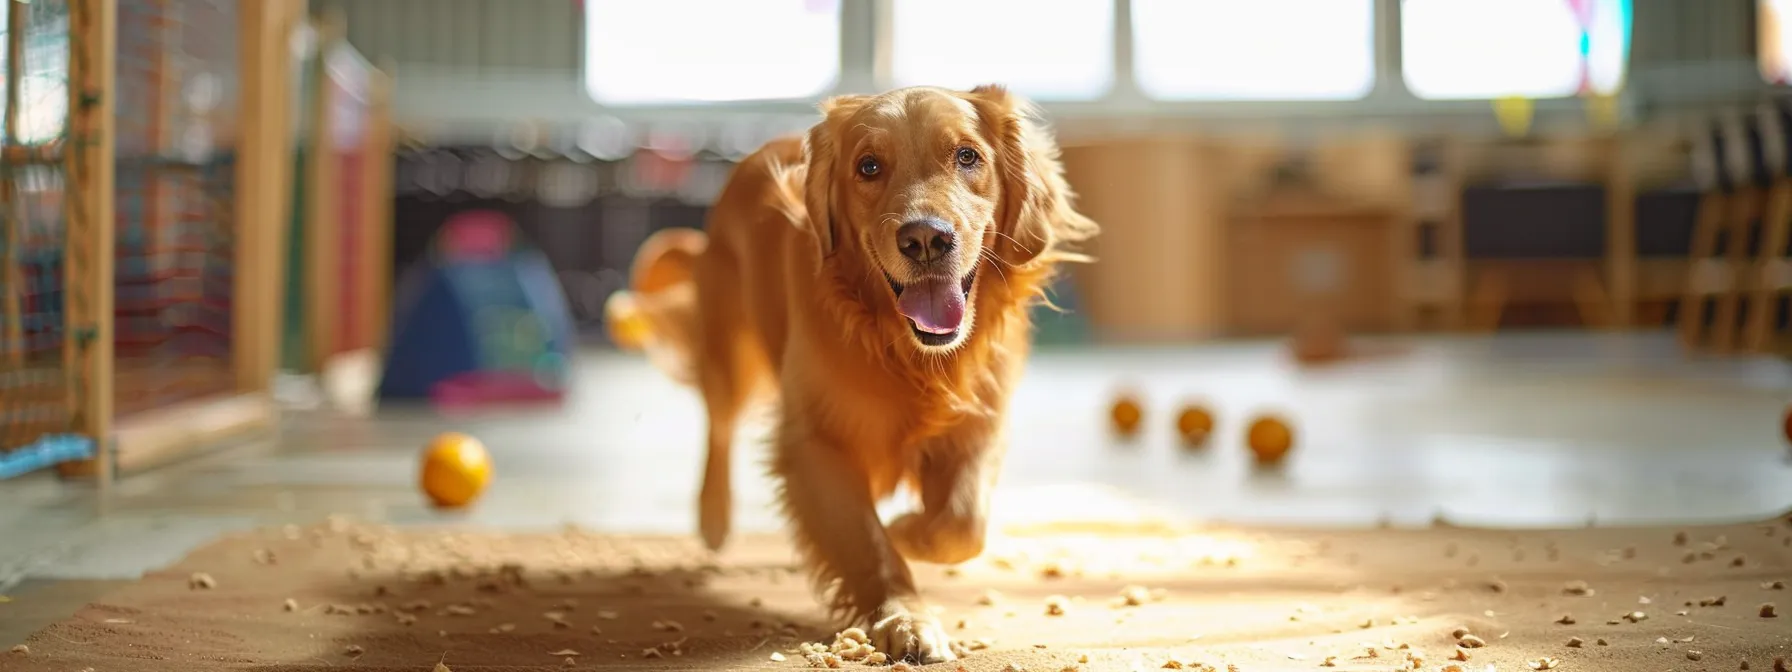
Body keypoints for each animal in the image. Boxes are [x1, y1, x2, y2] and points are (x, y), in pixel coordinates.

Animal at [609, 84, 1096, 663]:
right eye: (868, 166)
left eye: (967, 156)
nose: (925, 239)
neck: (905, 353)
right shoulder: (815, 441)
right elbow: (867, 543)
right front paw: (903, 616)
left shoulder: (981, 424)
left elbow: (962, 523)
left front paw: (908, 530)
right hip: (729, 351)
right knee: (719, 425)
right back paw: (714, 517)